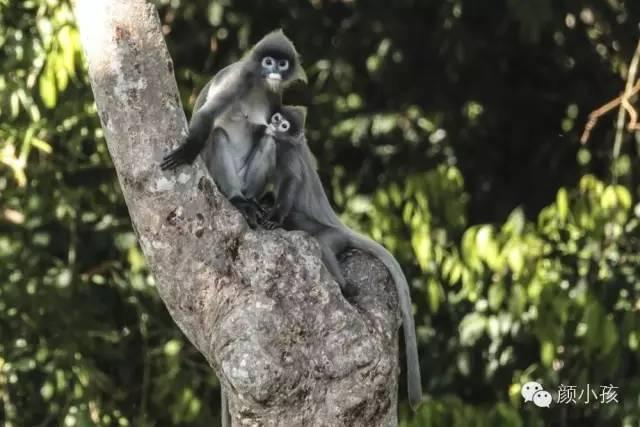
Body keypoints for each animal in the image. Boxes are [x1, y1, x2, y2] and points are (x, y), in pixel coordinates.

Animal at [159, 30, 304, 227]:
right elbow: (207, 114)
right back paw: (237, 200)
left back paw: (251, 201)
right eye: (268, 62)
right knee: (218, 135)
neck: (258, 83)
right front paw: (186, 153)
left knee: (268, 142)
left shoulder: (275, 94)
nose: (274, 72)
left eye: (282, 64)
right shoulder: (237, 80)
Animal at [262, 107, 422, 412]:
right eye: (277, 118)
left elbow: (290, 184)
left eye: (284, 124)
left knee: (321, 243)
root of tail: (343, 228)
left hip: (332, 236)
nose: (275, 125)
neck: (288, 143)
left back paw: (344, 285)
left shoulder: (287, 156)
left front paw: (273, 218)